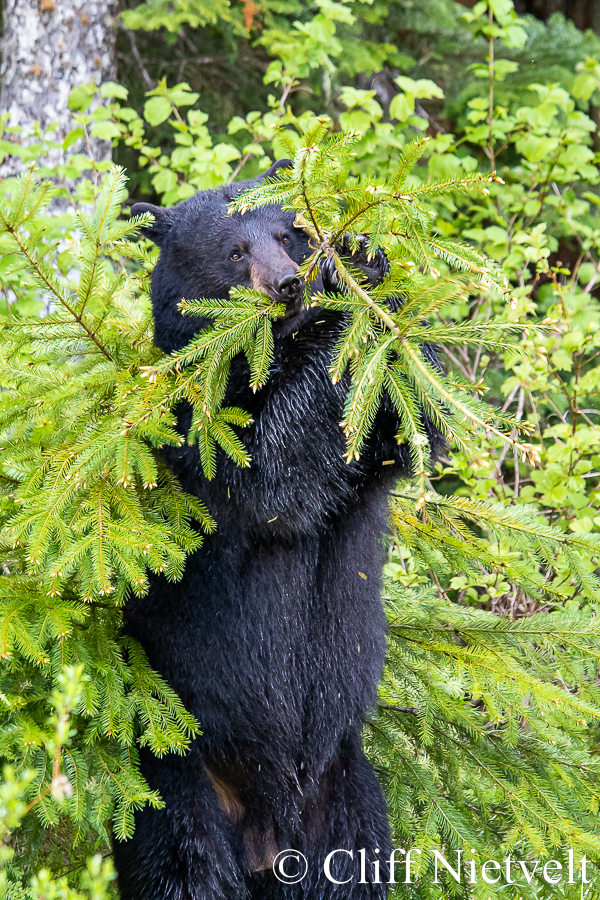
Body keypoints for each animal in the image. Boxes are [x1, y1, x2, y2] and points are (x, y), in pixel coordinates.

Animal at [116, 162, 436, 900]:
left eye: (288, 232)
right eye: (235, 251)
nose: (289, 282)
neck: (254, 358)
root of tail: (270, 832)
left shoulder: (371, 455)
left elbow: (405, 430)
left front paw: (366, 264)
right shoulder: (197, 428)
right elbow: (272, 475)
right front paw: (340, 302)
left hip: (347, 797)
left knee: (354, 872)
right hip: (177, 779)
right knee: (183, 867)